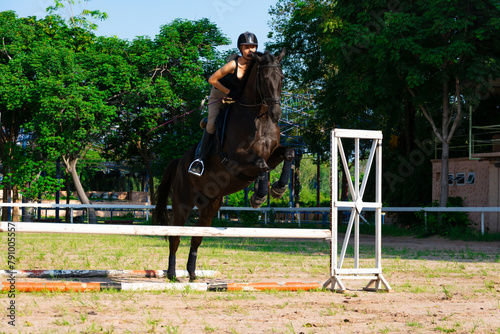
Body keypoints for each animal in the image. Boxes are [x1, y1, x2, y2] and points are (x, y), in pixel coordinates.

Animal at [154, 48, 292, 280]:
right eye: (264, 79)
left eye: (281, 78)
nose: (276, 114)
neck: (259, 118)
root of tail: (179, 162)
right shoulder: (235, 162)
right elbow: (261, 164)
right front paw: (258, 196)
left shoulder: (273, 154)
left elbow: (289, 153)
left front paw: (278, 188)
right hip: (182, 203)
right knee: (175, 236)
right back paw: (172, 273)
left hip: (209, 206)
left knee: (197, 238)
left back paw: (192, 274)